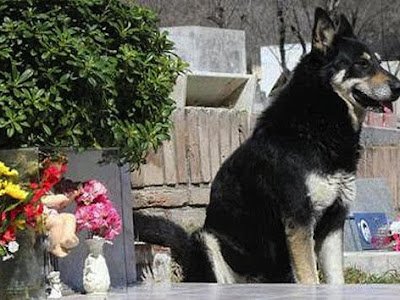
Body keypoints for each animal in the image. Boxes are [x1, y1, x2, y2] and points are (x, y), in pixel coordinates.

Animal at [135, 7, 400, 284]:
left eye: (378, 62)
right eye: (362, 63)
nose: (398, 87)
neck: (318, 124)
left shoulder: (333, 223)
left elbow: (336, 280)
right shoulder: (299, 221)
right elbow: (310, 279)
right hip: (207, 240)